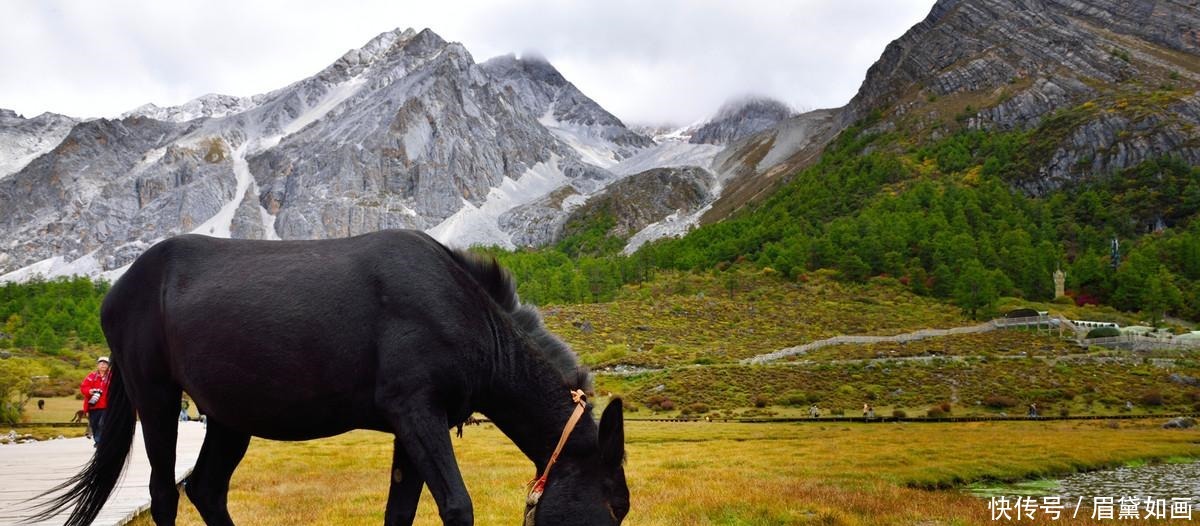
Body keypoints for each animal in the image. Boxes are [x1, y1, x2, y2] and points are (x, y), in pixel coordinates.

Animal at [30, 230, 628, 526]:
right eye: (612, 504)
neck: (463, 310)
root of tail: (121, 285)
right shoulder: (417, 414)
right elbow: (457, 506)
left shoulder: (413, 426)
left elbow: (399, 511)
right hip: (157, 399)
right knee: (164, 494)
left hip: (229, 417)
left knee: (206, 489)